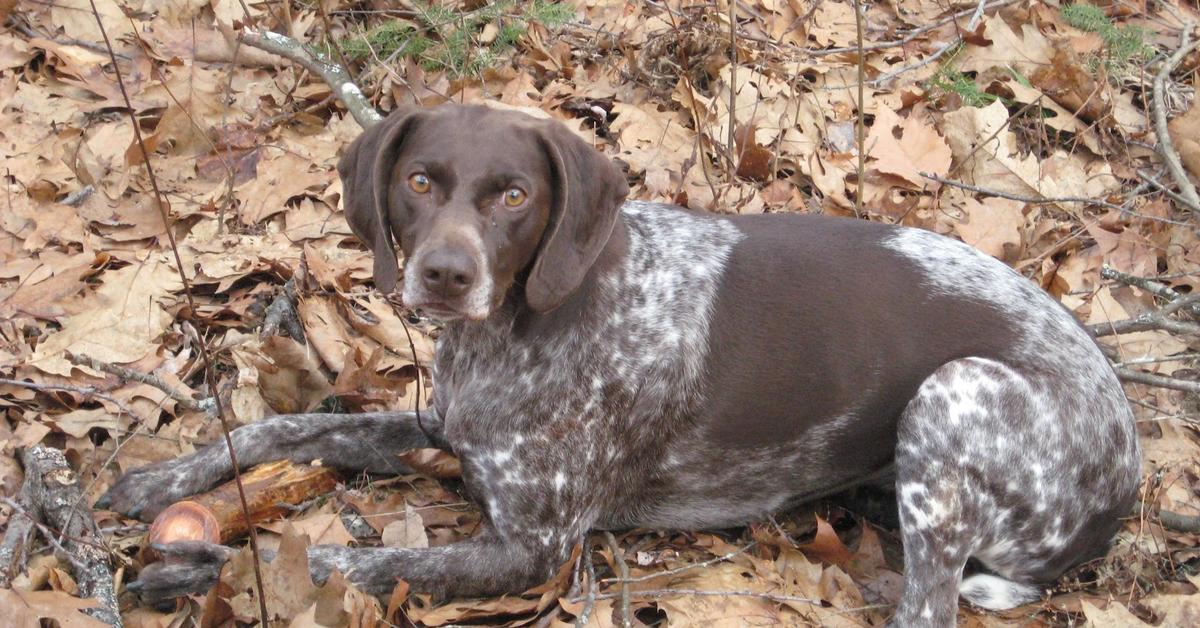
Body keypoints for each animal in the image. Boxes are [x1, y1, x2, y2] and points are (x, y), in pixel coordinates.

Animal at [98, 103, 1137, 624]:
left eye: (515, 196)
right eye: (420, 181)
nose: (445, 276)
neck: (515, 334)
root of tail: (1124, 482)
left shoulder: (530, 549)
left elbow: (342, 560)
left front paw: (191, 574)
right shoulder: (441, 427)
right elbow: (286, 425)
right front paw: (160, 480)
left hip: (955, 393)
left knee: (930, 610)